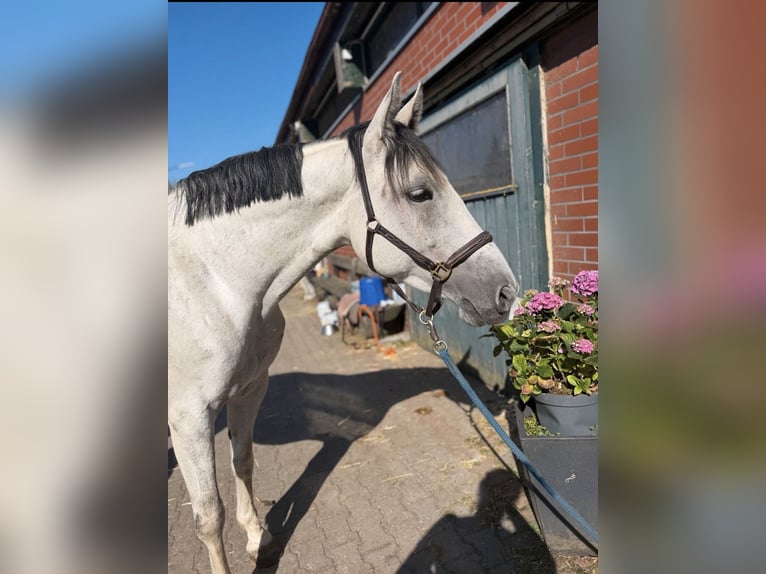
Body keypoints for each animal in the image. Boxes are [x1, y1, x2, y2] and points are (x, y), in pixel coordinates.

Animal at [168, 72, 519, 573]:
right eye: (420, 193)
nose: (506, 292)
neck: (215, 282)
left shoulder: (249, 389)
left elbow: (244, 463)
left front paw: (257, 538)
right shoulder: (189, 416)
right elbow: (208, 516)